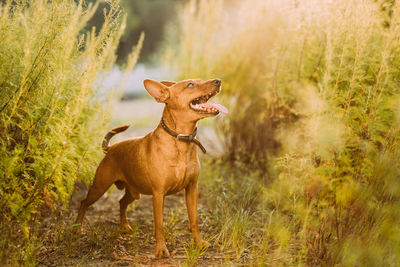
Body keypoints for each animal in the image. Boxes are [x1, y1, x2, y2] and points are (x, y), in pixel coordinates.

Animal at [74, 78, 227, 258]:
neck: (180, 141)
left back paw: (124, 226)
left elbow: (194, 220)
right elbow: (159, 225)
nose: (218, 80)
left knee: (121, 202)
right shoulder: (158, 194)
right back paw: (77, 227)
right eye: (190, 85)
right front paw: (161, 250)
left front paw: (199, 243)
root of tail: (110, 149)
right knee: (84, 202)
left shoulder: (191, 189)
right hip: (99, 187)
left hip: (134, 192)